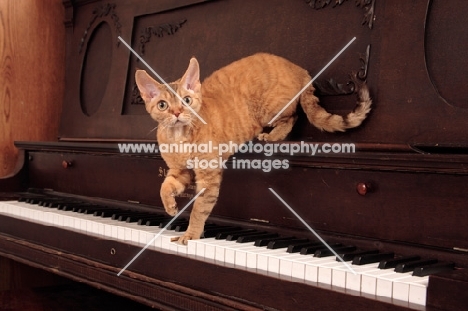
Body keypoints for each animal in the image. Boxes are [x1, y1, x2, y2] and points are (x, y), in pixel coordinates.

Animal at [135, 53, 372, 246]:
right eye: (163, 105)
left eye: (186, 100)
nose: (177, 113)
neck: (178, 137)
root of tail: (297, 68)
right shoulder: (179, 171)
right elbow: (165, 186)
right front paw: (170, 207)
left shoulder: (208, 176)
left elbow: (199, 209)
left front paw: (190, 234)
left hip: (270, 111)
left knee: (292, 117)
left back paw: (272, 136)